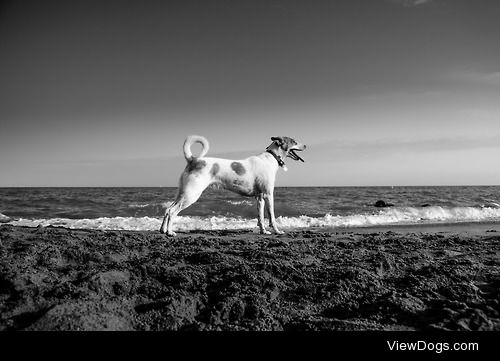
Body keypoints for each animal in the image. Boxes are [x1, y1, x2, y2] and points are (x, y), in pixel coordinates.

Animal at [162, 135, 306, 236]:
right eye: (294, 141)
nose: (305, 145)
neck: (271, 157)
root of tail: (194, 159)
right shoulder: (268, 195)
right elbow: (272, 217)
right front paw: (277, 231)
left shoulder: (259, 198)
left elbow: (260, 217)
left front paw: (263, 231)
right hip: (191, 194)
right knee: (172, 211)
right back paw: (170, 232)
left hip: (183, 193)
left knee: (168, 209)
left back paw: (163, 230)